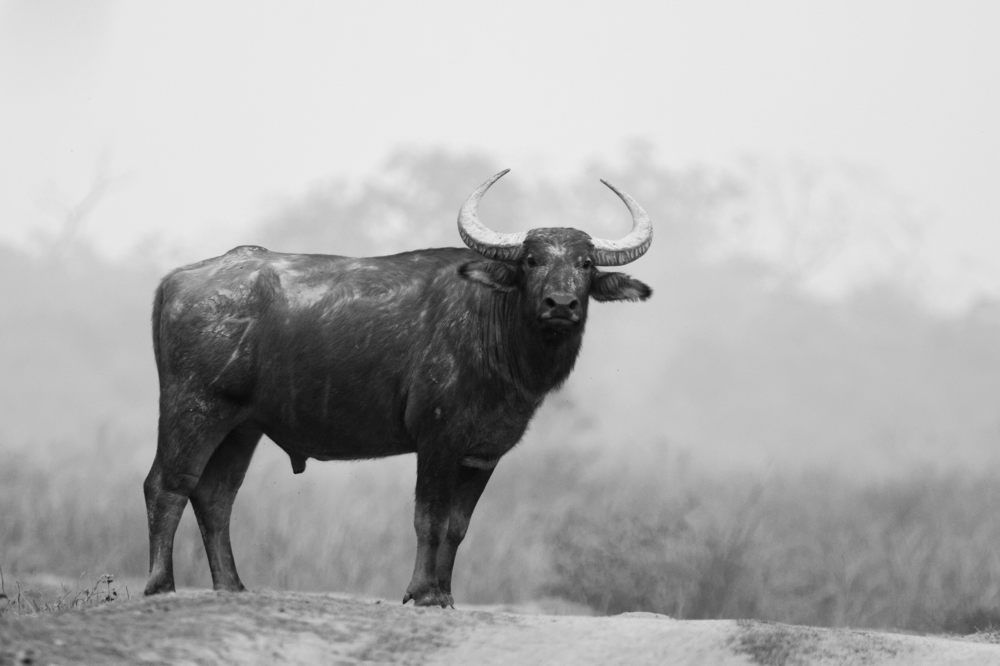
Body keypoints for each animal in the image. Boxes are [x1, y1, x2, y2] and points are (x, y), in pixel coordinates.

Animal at [143, 170, 652, 607]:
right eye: (531, 260)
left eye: (585, 263)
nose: (561, 304)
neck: (493, 331)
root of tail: (174, 280)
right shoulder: (436, 441)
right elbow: (428, 520)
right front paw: (422, 592)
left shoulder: (482, 454)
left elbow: (457, 527)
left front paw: (445, 593)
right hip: (193, 408)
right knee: (167, 485)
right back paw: (161, 585)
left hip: (241, 427)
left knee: (215, 496)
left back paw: (231, 585)